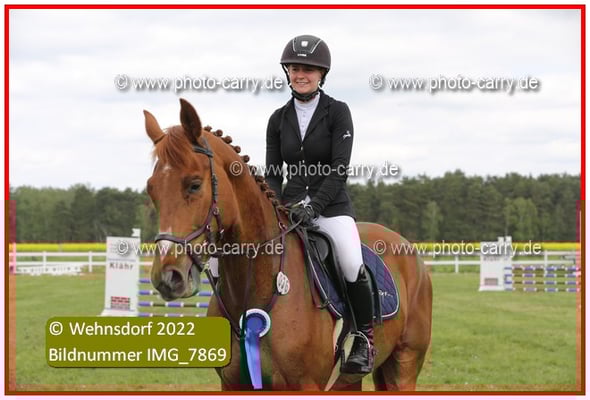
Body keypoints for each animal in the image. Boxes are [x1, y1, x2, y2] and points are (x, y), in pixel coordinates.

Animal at [143, 98, 432, 391]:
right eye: (151, 189)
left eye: (194, 185)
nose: (167, 277)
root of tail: (405, 245)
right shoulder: (232, 383)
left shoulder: (306, 385)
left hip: (404, 365)